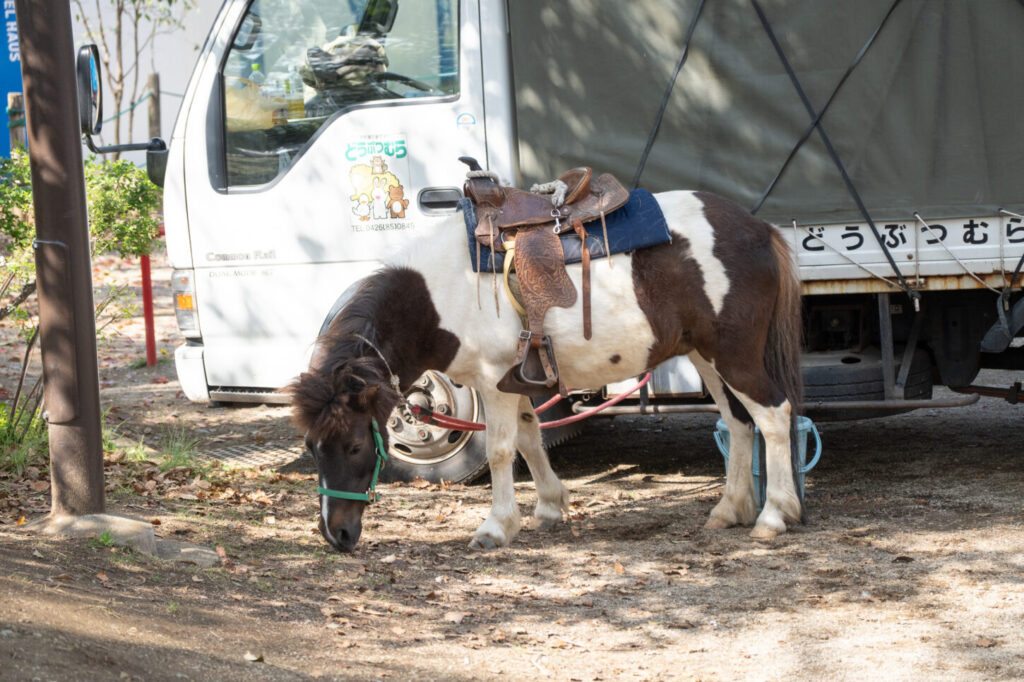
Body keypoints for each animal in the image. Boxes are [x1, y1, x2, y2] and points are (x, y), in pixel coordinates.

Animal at [288, 188, 798, 548]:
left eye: (355, 446)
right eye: (312, 447)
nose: (336, 535)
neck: (441, 294)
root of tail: (759, 228)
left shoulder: (493, 382)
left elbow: (500, 450)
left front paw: (495, 527)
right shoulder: (515, 382)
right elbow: (530, 438)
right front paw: (550, 507)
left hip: (734, 354)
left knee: (773, 416)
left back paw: (773, 515)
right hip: (705, 356)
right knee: (737, 423)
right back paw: (730, 510)